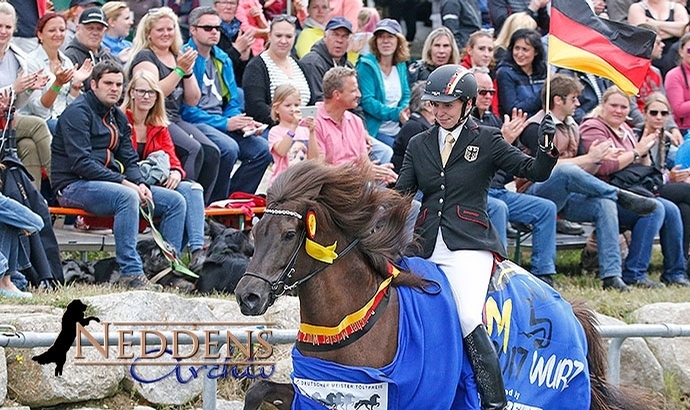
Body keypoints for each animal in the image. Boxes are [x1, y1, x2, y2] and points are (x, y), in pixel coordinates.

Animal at [234, 160, 652, 410]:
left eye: (289, 234)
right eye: (255, 230)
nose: (248, 296)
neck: (350, 320)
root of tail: (570, 310)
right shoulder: (320, 393)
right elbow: (258, 389)